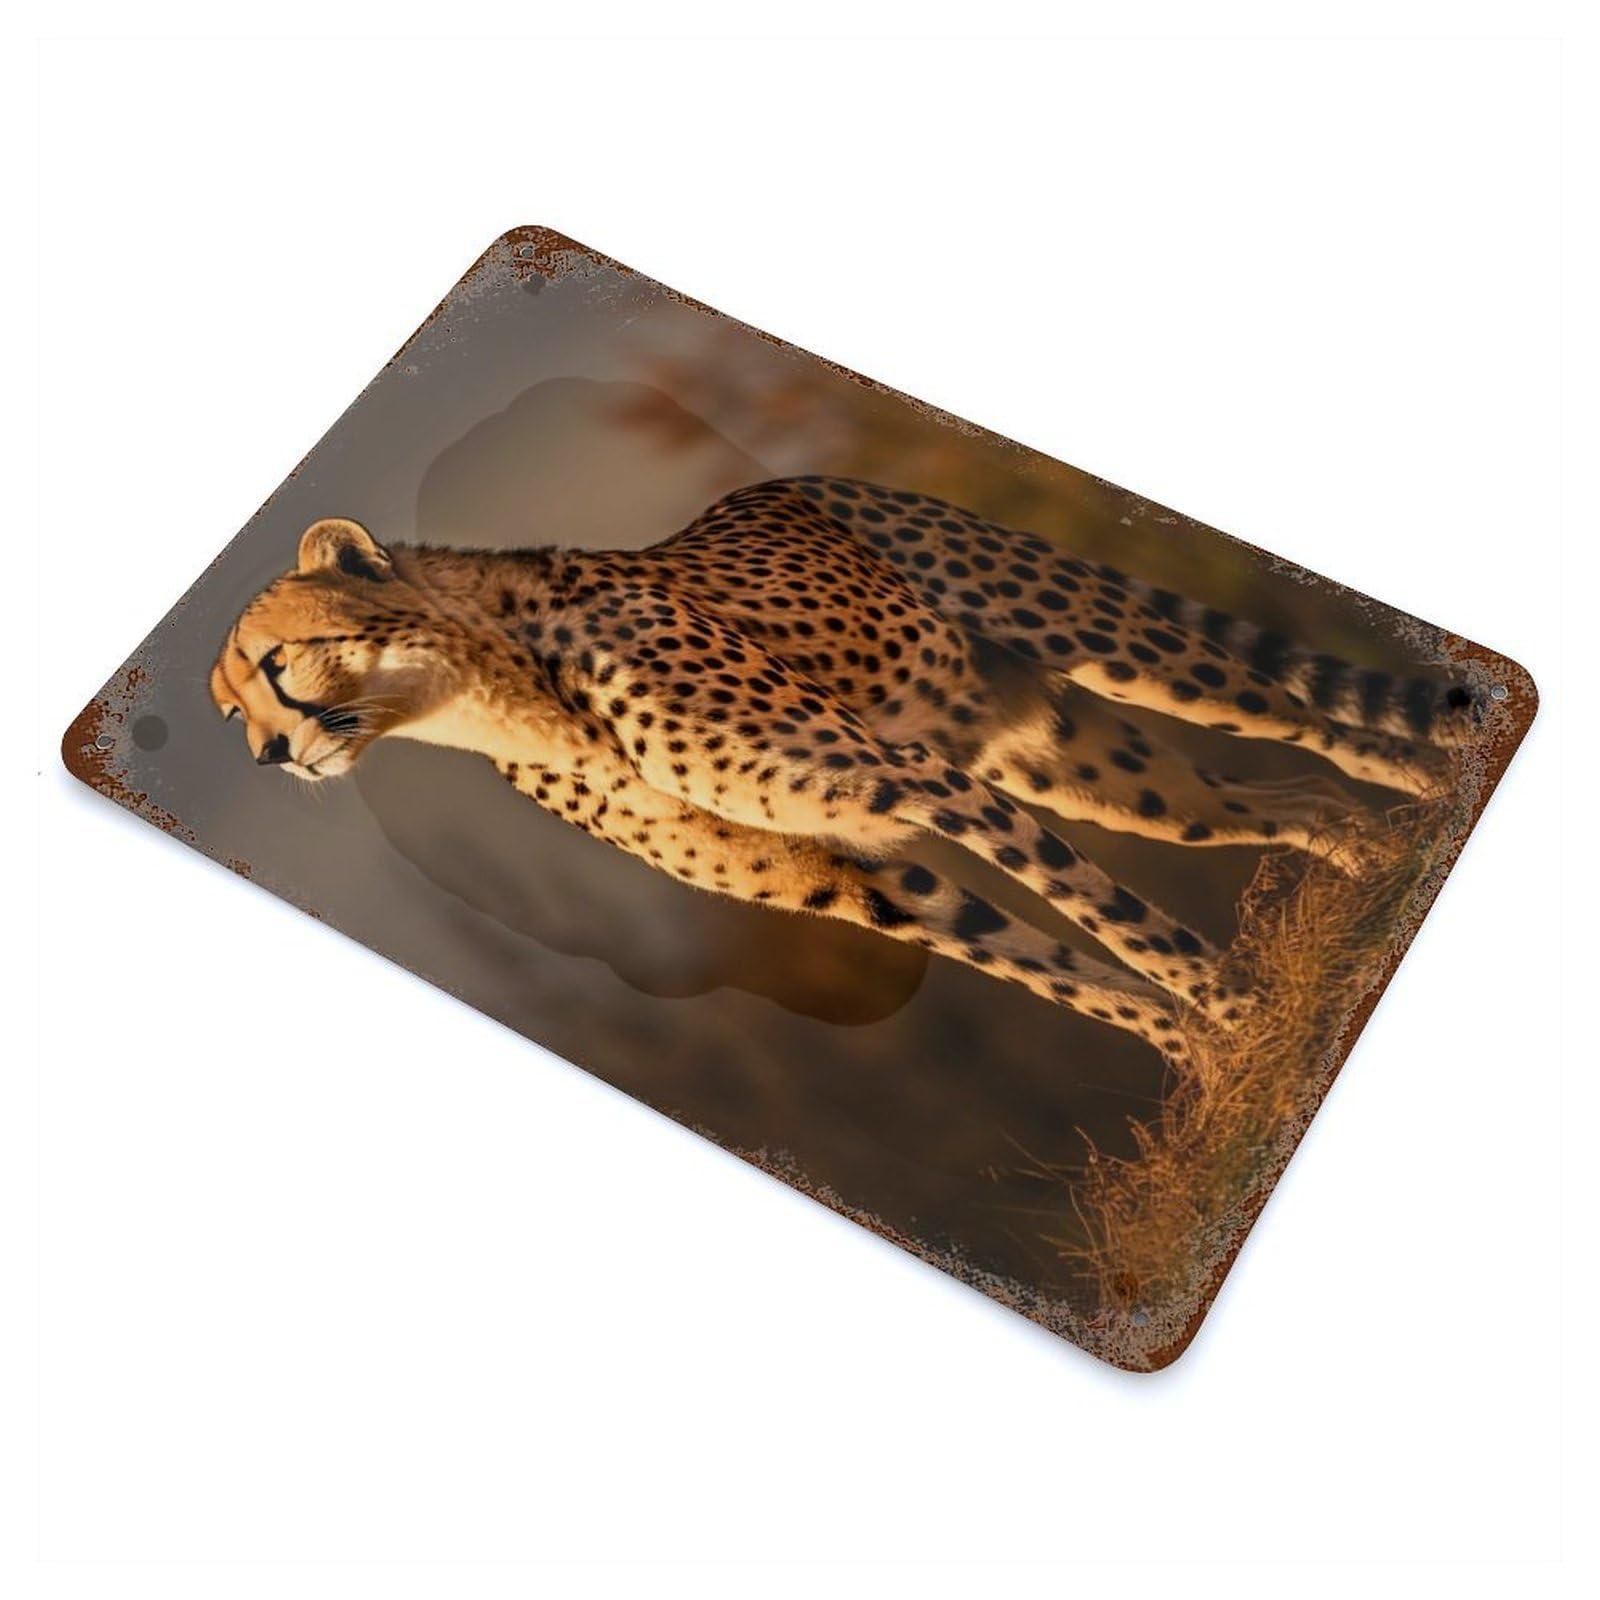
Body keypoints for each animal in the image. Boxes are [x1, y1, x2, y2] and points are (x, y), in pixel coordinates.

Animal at [210, 477, 1482, 1064]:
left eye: (276, 663)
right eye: (228, 713)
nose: (268, 754)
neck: (489, 700)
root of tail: (801, 479)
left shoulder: (911, 782)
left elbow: (1112, 923)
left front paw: (1240, 1020)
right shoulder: (865, 879)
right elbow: (1063, 974)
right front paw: (1214, 1066)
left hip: (1120, 657)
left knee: (1308, 725)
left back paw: (1428, 797)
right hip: (1079, 762)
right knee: (1278, 799)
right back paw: (1367, 855)